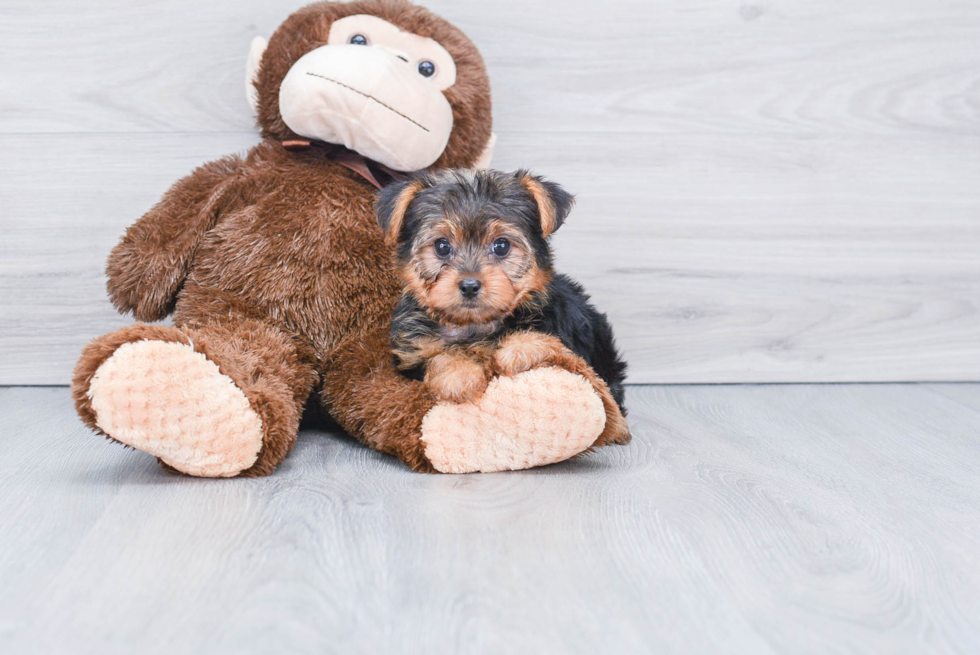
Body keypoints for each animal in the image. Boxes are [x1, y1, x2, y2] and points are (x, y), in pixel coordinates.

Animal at [372, 169, 632, 446]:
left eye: (501, 246)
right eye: (441, 246)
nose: (469, 285)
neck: (473, 325)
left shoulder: (561, 333)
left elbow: (547, 343)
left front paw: (517, 350)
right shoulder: (411, 356)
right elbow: (437, 357)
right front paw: (458, 374)